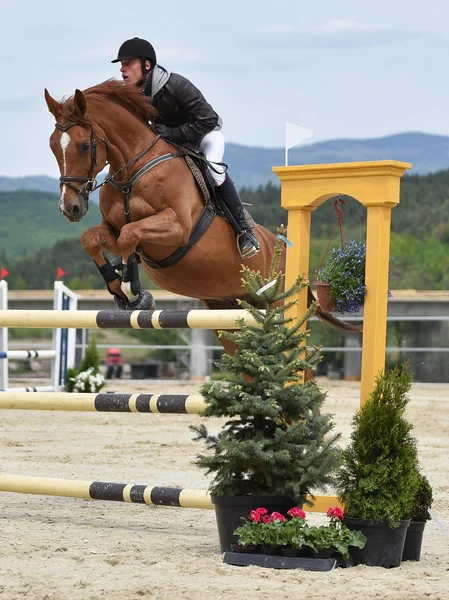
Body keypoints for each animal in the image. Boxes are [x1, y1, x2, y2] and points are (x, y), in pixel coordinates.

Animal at [44, 81, 360, 356]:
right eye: (53, 146)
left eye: (84, 146)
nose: (69, 207)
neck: (132, 171)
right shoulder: (113, 227)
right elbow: (94, 238)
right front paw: (118, 289)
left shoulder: (177, 228)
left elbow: (129, 235)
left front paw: (133, 292)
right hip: (227, 315)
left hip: (277, 308)